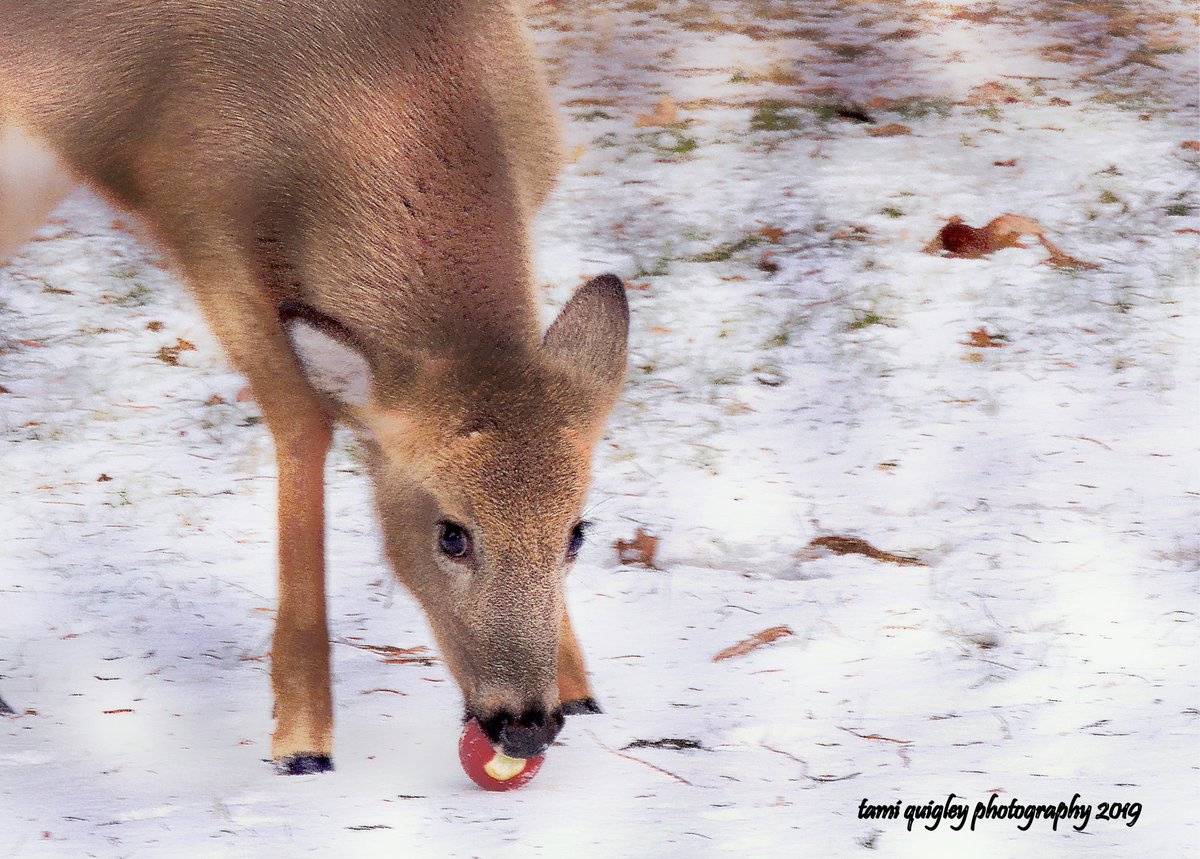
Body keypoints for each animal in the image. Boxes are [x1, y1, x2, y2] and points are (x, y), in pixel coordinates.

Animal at [0, 0, 629, 775]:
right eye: (452, 535)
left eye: (576, 532)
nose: (524, 726)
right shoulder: (202, 228)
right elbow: (303, 422)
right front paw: (302, 739)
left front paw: (580, 686)